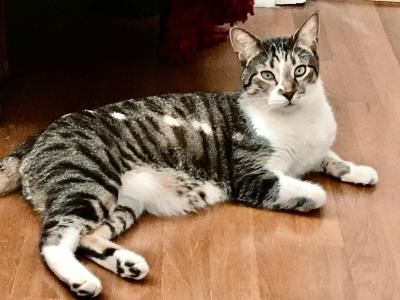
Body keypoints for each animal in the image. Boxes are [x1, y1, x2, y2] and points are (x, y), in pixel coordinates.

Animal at [0, 13, 378, 296]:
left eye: (300, 70)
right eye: (267, 75)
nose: (287, 93)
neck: (298, 121)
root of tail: (35, 138)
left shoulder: (316, 151)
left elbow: (331, 157)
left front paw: (359, 170)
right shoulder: (249, 175)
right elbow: (310, 191)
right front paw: (309, 190)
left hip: (123, 203)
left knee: (88, 237)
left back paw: (128, 264)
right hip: (88, 183)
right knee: (53, 238)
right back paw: (82, 280)